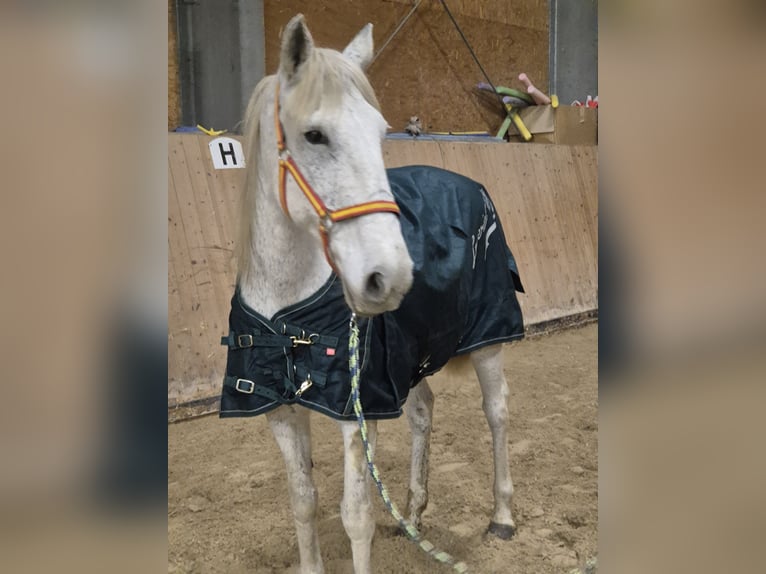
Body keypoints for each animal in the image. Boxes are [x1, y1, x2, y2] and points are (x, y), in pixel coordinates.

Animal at [219, 14, 524, 574]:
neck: (289, 315)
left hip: (488, 339)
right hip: (412, 356)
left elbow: (355, 513)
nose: (392, 275)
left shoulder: (358, 410)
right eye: (314, 135)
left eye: (381, 134)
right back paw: (413, 514)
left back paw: (503, 517)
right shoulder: (280, 411)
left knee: (497, 412)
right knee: (424, 413)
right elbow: (303, 502)